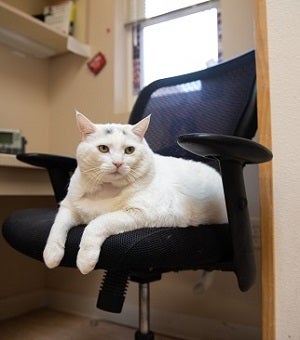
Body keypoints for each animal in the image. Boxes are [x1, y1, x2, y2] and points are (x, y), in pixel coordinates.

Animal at [43, 113, 227, 274]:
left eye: (129, 150)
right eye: (103, 148)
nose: (118, 163)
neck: (106, 190)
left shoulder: (146, 213)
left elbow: (97, 223)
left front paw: (85, 259)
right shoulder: (68, 207)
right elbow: (56, 227)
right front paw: (51, 254)